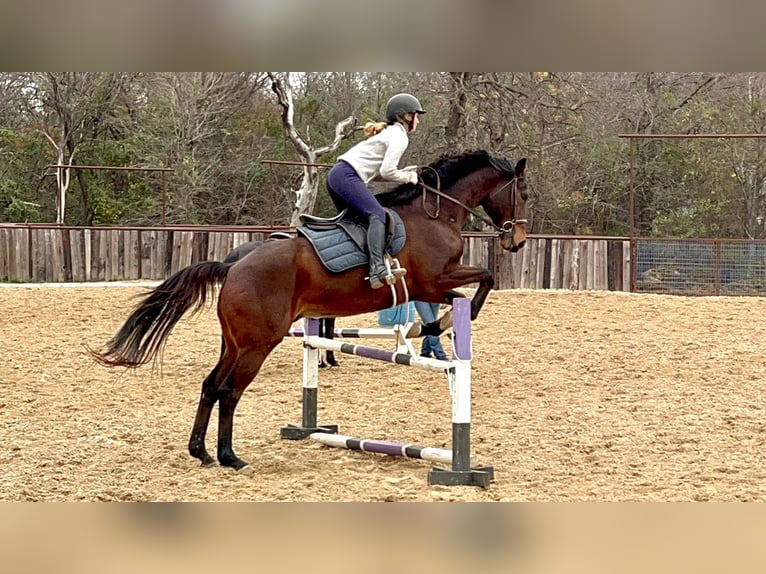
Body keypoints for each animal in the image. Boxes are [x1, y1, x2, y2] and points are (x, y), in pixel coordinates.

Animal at [91, 151, 528, 474]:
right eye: (522, 193)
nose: (519, 240)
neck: (435, 214)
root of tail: (232, 266)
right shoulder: (433, 280)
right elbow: (485, 279)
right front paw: (454, 320)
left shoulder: (431, 286)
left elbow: (464, 293)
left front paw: (436, 325)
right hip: (257, 344)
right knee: (229, 391)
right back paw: (231, 458)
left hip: (235, 343)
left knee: (210, 386)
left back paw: (201, 452)